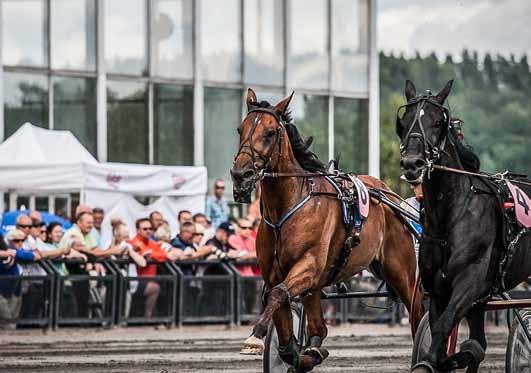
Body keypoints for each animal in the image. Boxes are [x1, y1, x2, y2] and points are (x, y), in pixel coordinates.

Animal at [232, 88, 424, 370]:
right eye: (240, 129)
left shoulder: (309, 266)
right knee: (318, 326)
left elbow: (278, 295)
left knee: (418, 311)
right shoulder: (276, 273)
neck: (289, 205)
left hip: (401, 271)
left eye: (270, 132)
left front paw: (257, 335)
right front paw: (296, 353)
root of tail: (390, 195)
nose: (240, 175)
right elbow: (279, 305)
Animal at [396, 79, 528, 372]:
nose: (412, 163)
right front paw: (449, 358)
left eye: (437, 122)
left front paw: (432, 362)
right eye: (405, 120)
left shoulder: (470, 282)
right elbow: (453, 339)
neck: (452, 217)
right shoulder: (439, 289)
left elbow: (446, 327)